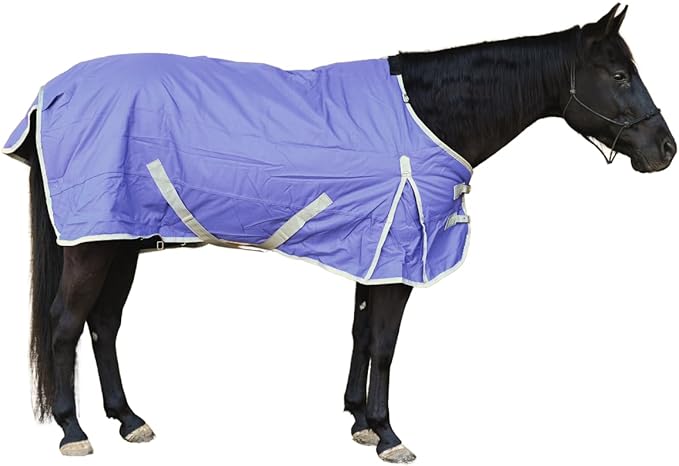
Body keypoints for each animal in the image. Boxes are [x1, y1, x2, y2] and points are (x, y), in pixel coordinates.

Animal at [2, 3, 675, 463]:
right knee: (65, 324)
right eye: (619, 74)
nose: (664, 150)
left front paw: (357, 421)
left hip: (122, 241)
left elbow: (360, 334)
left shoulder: (371, 248)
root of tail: (49, 95)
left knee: (103, 324)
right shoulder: (400, 254)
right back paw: (73, 430)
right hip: (93, 245)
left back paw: (128, 419)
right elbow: (385, 343)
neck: (429, 115)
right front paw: (389, 434)